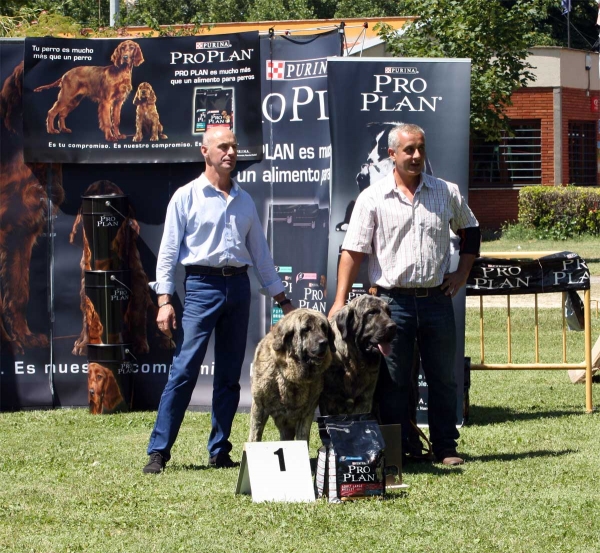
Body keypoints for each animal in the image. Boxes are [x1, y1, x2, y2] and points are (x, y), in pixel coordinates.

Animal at [247, 308, 336, 442]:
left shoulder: (306, 414)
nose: (324, 342)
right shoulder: (259, 408)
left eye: (324, 328)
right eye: (306, 329)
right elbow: (255, 436)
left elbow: (302, 438)